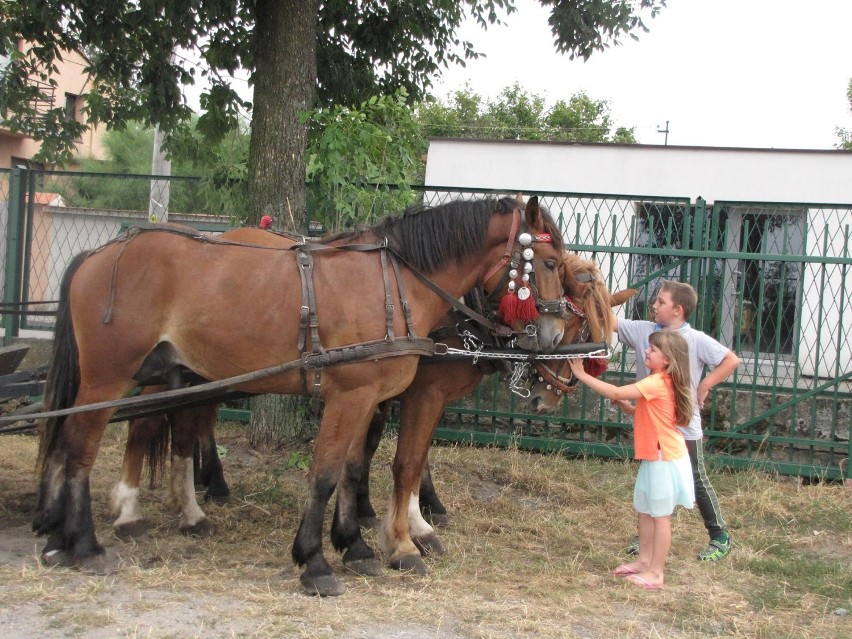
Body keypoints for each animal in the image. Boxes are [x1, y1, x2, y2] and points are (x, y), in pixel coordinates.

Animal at [35, 198, 564, 596]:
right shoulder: (352, 396)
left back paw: (64, 536)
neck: (392, 283)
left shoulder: (367, 398)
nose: (554, 336)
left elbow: (352, 469)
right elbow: (327, 475)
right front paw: (315, 561)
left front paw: (355, 546)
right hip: (109, 378)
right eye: (552, 263)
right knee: (80, 446)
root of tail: (98, 253)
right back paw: (86, 544)